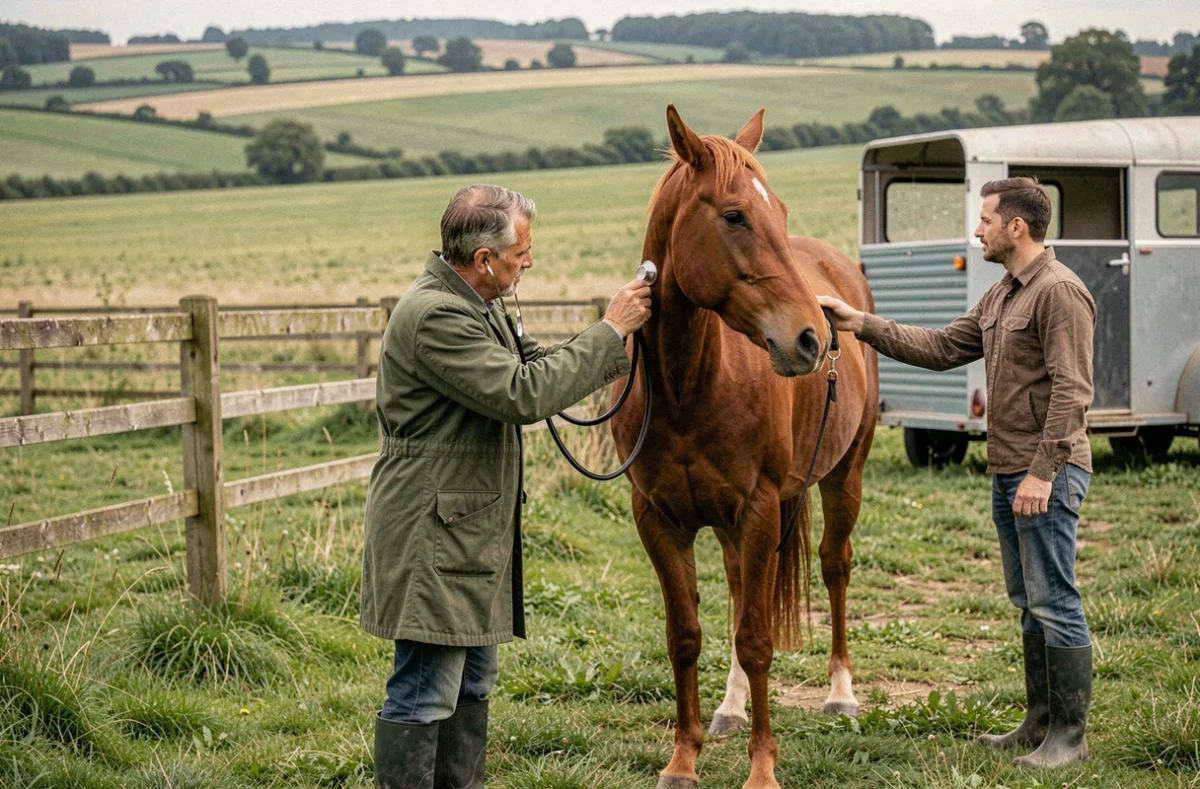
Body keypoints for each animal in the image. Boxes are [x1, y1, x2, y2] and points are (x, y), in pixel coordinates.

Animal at [610, 105, 879, 789]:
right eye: (734, 216)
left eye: (778, 210)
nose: (811, 338)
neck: (688, 389)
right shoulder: (659, 518)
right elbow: (687, 635)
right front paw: (684, 758)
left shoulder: (759, 509)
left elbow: (757, 639)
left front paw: (762, 769)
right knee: (737, 590)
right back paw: (730, 709)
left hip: (844, 477)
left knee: (834, 567)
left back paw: (842, 694)